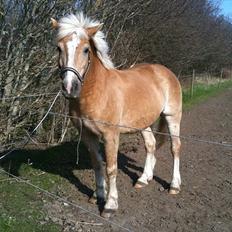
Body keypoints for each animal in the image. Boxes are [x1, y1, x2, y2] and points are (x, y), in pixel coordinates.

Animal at [50, 12, 181, 218]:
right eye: (58, 48)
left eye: (86, 50)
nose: (70, 87)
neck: (96, 92)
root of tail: (165, 71)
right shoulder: (88, 135)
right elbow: (97, 164)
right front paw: (97, 195)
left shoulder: (110, 135)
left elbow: (111, 168)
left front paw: (110, 204)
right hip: (143, 123)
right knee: (151, 145)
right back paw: (143, 179)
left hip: (172, 117)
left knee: (175, 147)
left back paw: (174, 186)